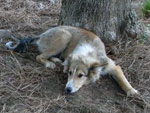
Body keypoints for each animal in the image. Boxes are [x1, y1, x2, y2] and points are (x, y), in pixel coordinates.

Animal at [5, 25, 138, 96]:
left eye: (81, 75)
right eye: (69, 73)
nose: (67, 90)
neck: (89, 53)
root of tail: (42, 34)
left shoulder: (112, 66)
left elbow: (122, 78)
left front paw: (131, 91)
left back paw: (56, 60)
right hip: (64, 36)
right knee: (39, 56)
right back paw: (50, 63)